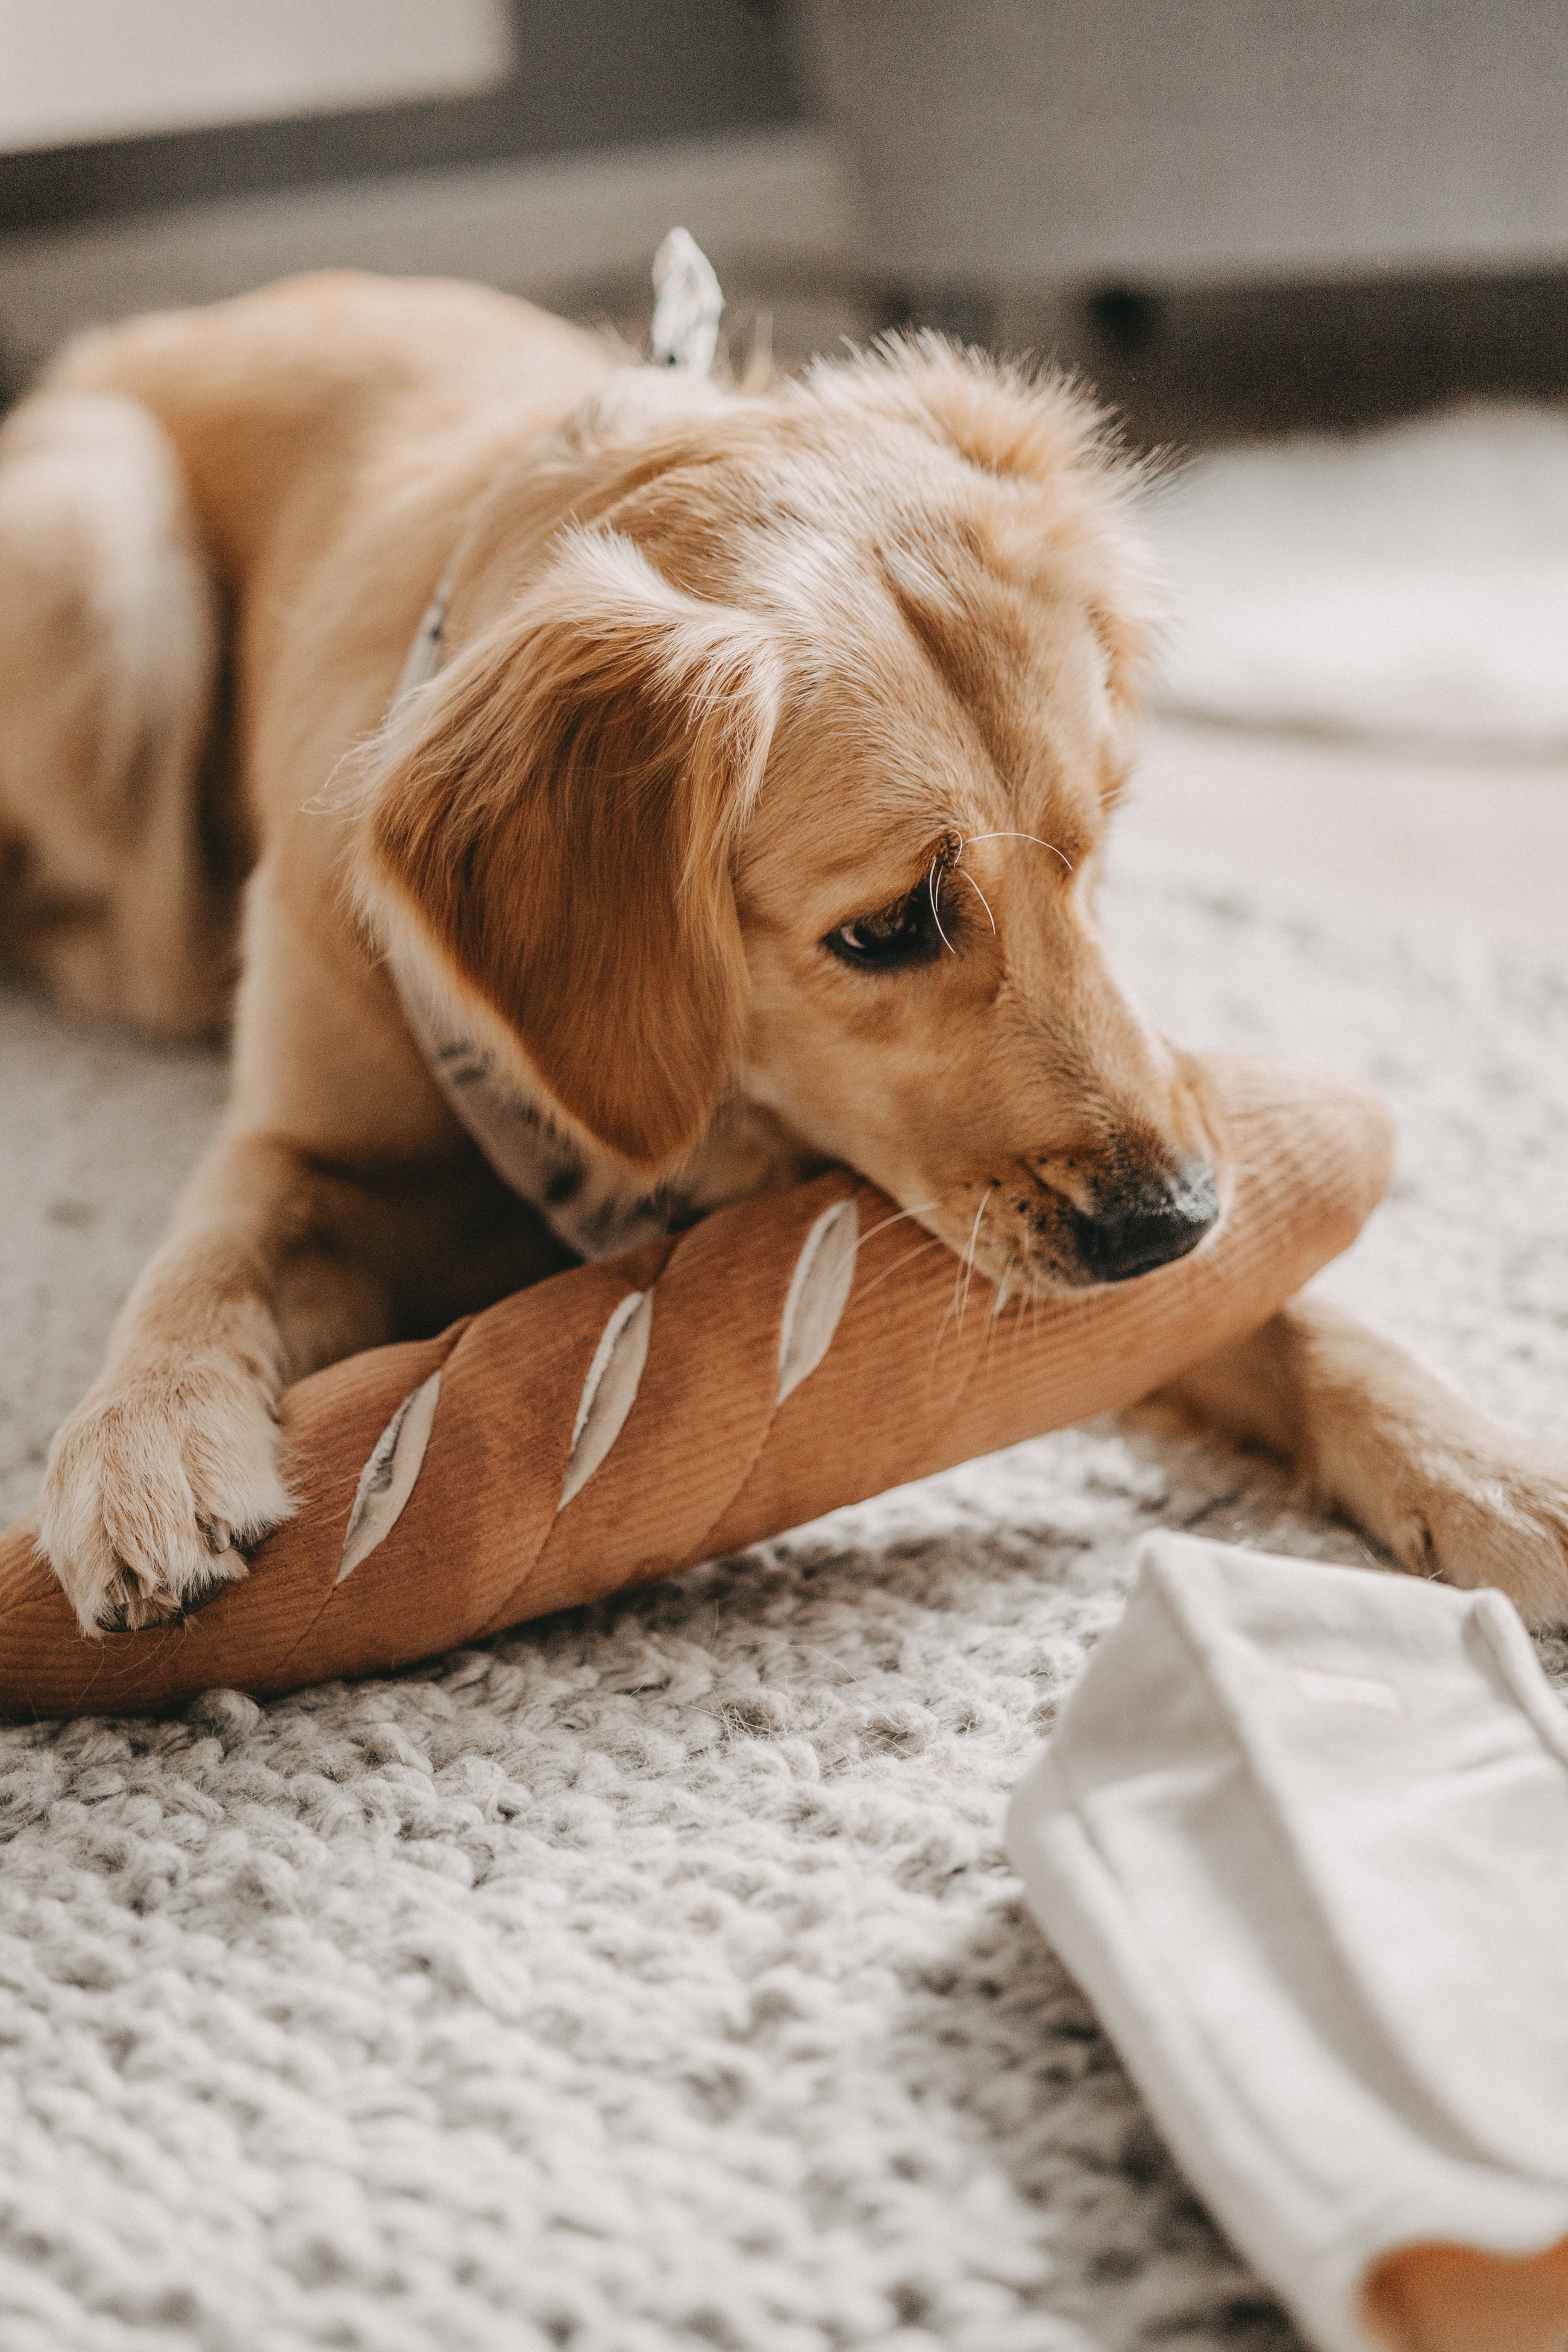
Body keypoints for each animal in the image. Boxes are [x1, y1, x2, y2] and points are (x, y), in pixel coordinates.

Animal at [0, 270, 1561, 1637]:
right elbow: (206, 1260)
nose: (1174, 1218)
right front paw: (142, 1444)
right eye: (885, 928)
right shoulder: (309, 1148)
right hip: (107, 557)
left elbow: (1299, 1315)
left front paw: (1483, 1467)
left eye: (1097, 842)